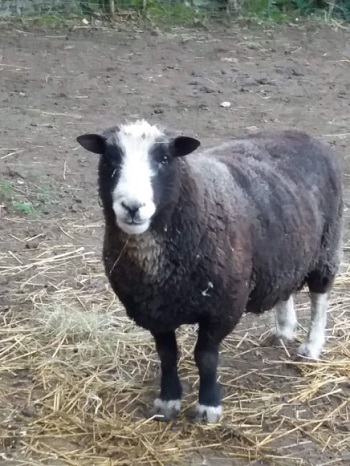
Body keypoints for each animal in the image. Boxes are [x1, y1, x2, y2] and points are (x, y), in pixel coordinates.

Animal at [76, 119, 342, 422]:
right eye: (110, 158)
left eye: (165, 158)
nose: (132, 207)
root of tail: (301, 135)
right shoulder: (153, 310)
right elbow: (167, 354)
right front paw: (167, 400)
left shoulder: (222, 308)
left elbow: (205, 357)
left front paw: (208, 406)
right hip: (282, 250)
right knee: (283, 287)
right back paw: (284, 330)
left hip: (326, 245)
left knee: (320, 296)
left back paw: (312, 346)